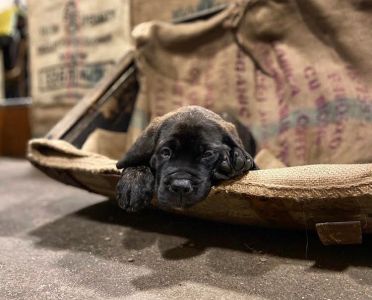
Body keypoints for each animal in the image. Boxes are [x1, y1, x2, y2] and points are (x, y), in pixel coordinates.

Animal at [117, 105, 258, 211]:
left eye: (207, 154)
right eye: (166, 152)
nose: (180, 187)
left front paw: (237, 158)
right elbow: (137, 162)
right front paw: (133, 183)